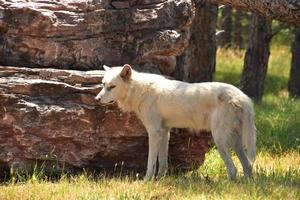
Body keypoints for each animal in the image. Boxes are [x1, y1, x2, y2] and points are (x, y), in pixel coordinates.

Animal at [95, 64, 255, 180]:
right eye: (103, 85)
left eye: (112, 87)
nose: (97, 99)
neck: (140, 90)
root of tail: (243, 98)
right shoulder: (164, 132)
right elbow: (162, 163)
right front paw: (160, 180)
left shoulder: (154, 133)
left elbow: (151, 162)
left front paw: (147, 181)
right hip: (235, 142)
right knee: (247, 166)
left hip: (220, 140)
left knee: (233, 169)